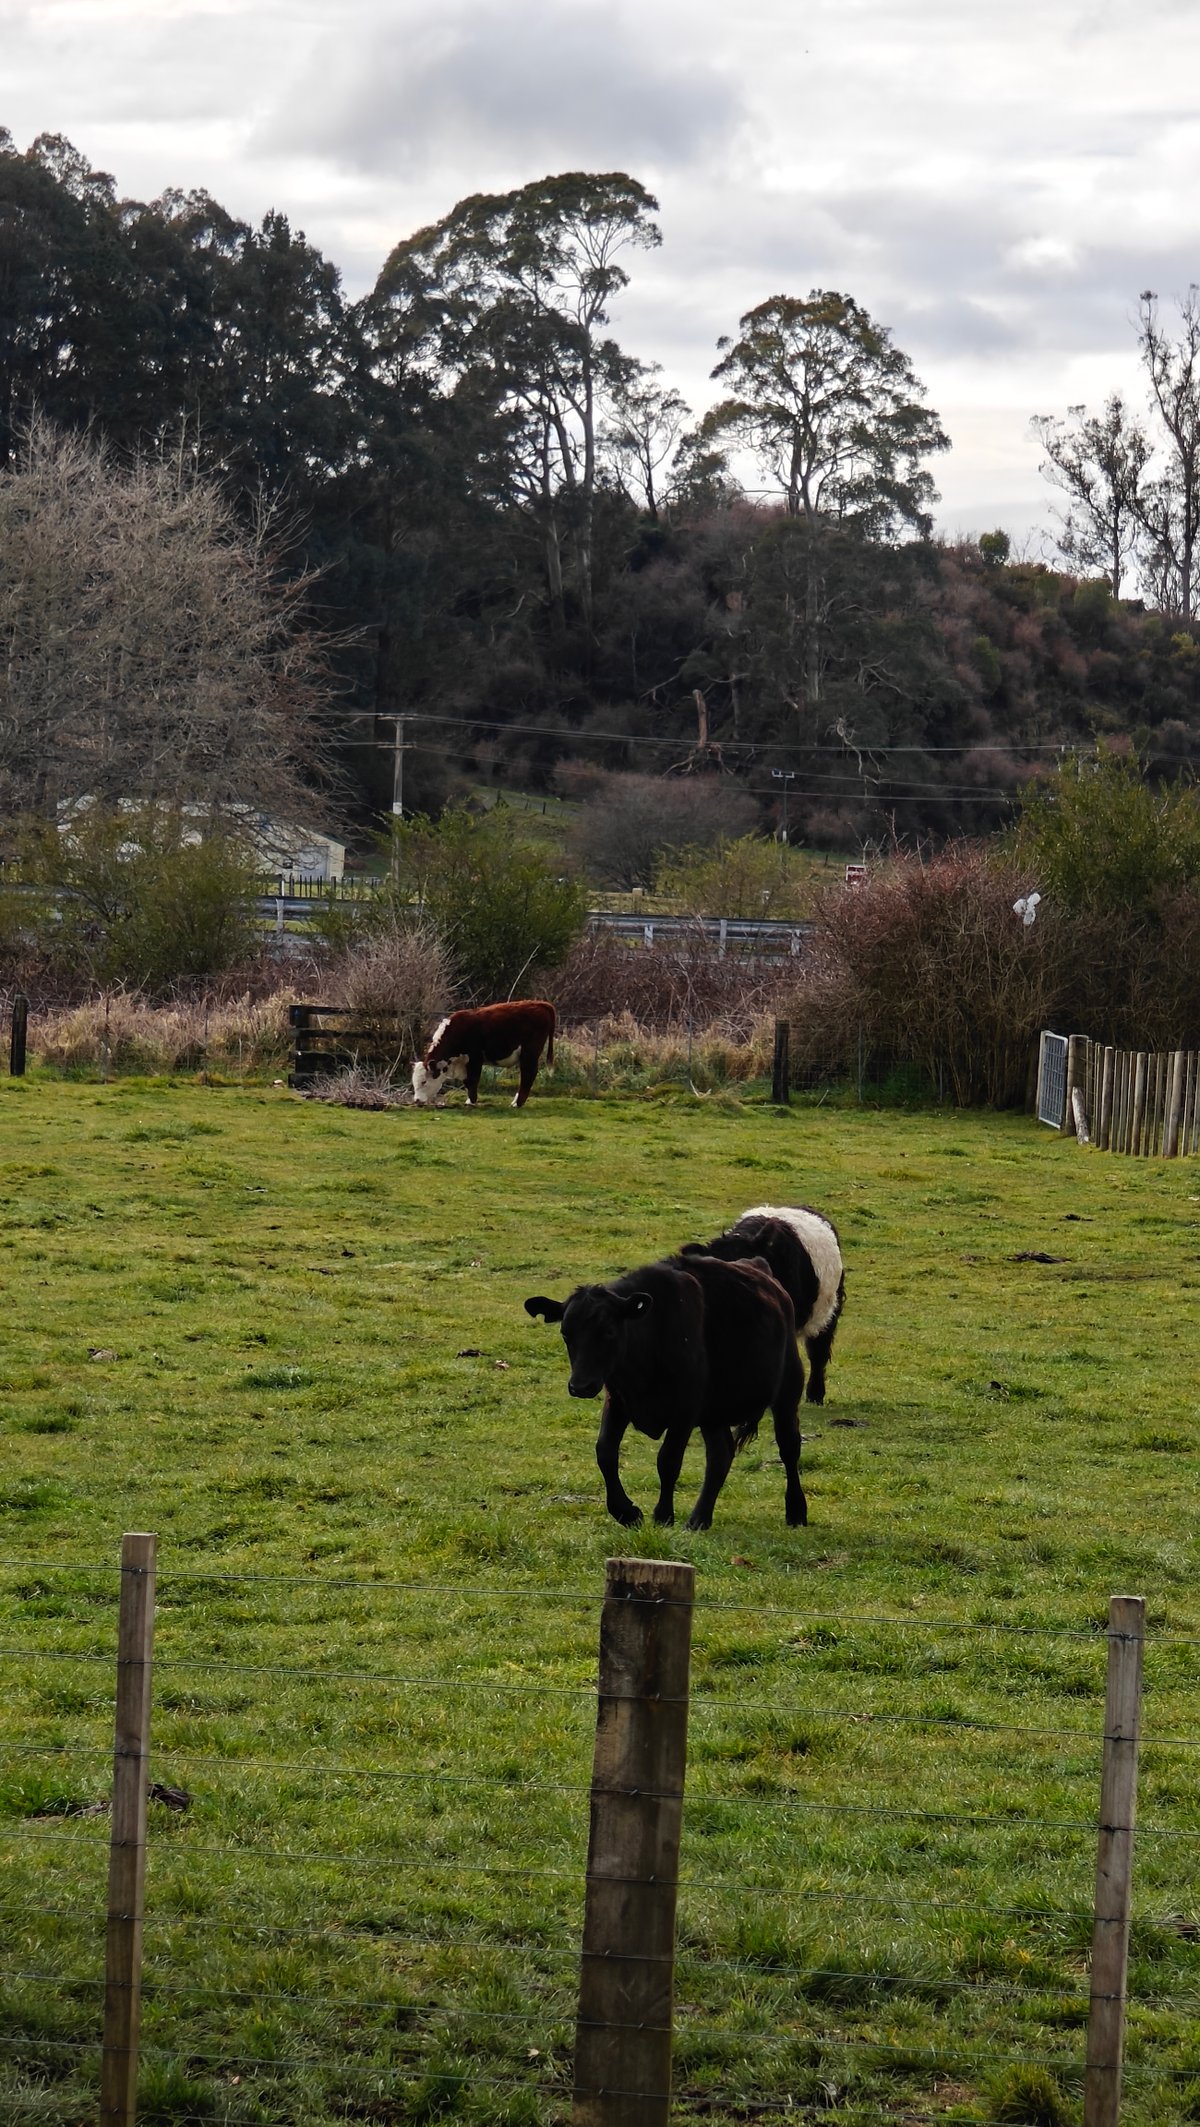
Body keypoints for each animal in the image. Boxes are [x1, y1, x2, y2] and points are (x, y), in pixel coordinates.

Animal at [411, 1000, 556, 1109]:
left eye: (424, 1081)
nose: (416, 1100)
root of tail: (540, 1003)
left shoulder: (475, 1059)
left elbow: (472, 1080)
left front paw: (472, 1102)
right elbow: (467, 1081)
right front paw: (469, 1100)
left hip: (529, 1053)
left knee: (528, 1075)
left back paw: (517, 1103)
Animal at [524, 1251, 806, 1531]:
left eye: (609, 1331)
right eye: (565, 1333)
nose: (581, 1386)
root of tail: (760, 1266)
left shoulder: (686, 1410)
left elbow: (668, 1460)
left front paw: (663, 1515)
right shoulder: (617, 1401)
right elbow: (605, 1452)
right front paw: (626, 1512)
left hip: (788, 1391)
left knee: (789, 1447)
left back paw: (796, 1511)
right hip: (714, 1414)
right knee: (721, 1455)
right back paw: (699, 1518)